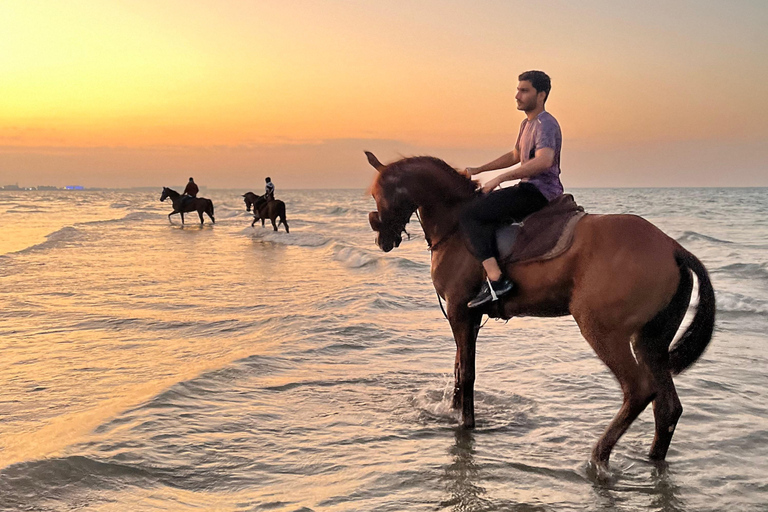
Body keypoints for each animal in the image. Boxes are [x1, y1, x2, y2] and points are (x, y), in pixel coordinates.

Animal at [365, 151, 715, 470]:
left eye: (380, 195)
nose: (383, 239)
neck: (456, 227)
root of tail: (672, 247)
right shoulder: (467, 316)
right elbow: (459, 368)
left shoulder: (459, 312)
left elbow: (467, 373)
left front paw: (466, 425)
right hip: (651, 340)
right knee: (667, 407)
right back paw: (651, 460)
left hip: (602, 329)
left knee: (639, 390)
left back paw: (598, 456)